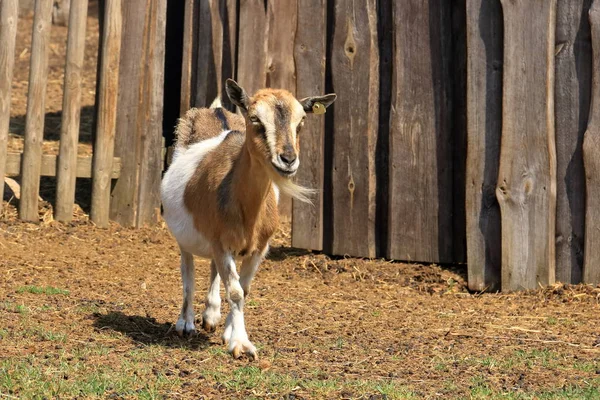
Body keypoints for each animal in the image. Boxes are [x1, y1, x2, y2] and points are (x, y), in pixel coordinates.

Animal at [162, 79, 336, 360]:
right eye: (255, 119)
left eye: (301, 122)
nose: (288, 160)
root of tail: (216, 109)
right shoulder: (221, 243)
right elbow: (235, 292)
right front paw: (241, 345)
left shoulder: (259, 248)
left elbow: (243, 289)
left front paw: (229, 333)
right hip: (184, 237)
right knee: (187, 271)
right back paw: (186, 324)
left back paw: (211, 316)